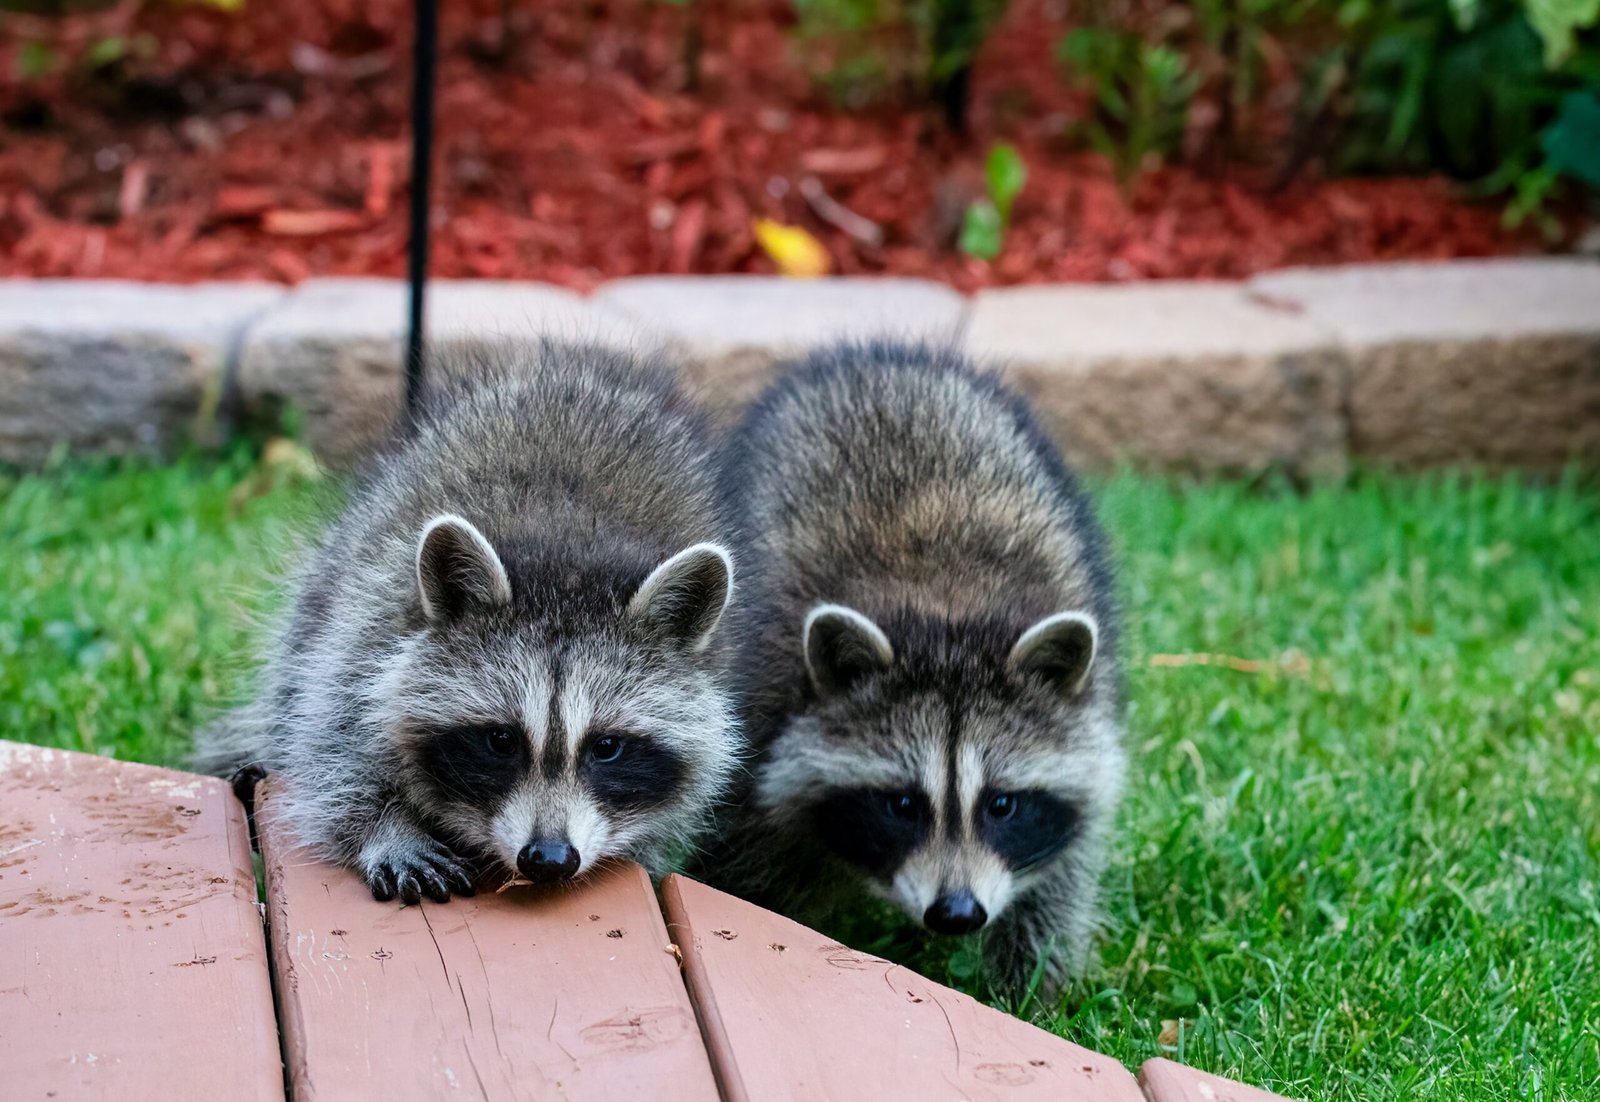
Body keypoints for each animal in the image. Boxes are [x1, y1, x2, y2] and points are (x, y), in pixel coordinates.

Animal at [196, 341, 738, 905]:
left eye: (607, 747)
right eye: (500, 740)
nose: (548, 859)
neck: (566, 560)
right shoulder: (371, 622)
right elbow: (334, 746)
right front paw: (385, 827)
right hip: (338, 566)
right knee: (296, 669)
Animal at [698, 342, 1124, 997]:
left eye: (1002, 804)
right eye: (901, 804)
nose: (957, 913)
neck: (945, 613)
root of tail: (876, 354)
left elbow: (1058, 880)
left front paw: (1032, 991)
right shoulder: (762, 708)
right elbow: (746, 863)